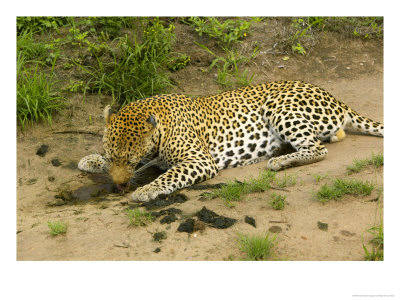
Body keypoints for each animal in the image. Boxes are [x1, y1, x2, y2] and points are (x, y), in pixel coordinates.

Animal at [76, 80, 382, 202]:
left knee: (316, 149)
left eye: (130, 160)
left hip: (280, 107)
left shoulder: (199, 159)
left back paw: (280, 160)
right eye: (113, 156)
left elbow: (170, 174)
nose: (118, 186)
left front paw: (146, 189)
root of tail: (335, 98)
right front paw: (91, 159)